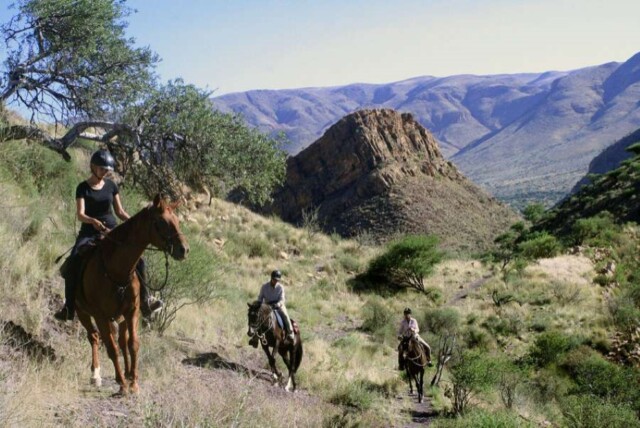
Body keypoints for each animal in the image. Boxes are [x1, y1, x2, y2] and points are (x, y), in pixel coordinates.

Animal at [73, 194, 188, 394]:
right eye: (162, 222)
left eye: (177, 221)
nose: (184, 249)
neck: (117, 269)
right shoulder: (101, 316)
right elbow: (111, 348)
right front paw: (122, 384)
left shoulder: (132, 310)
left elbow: (133, 344)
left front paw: (133, 381)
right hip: (83, 313)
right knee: (94, 337)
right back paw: (96, 375)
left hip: (119, 317)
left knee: (121, 341)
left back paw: (125, 372)